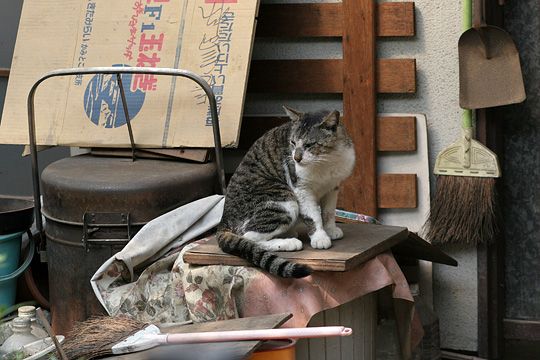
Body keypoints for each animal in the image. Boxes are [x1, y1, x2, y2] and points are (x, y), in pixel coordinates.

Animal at [217, 107, 356, 278]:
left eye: (309, 145)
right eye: (292, 143)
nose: (296, 158)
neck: (325, 161)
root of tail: (224, 219)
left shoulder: (332, 187)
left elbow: (329, 212)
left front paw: (330, 229)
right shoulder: (300, 188)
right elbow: (313, 215)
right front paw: (320, 237)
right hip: (284, 201)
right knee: (248, 237)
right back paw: (289, 243)